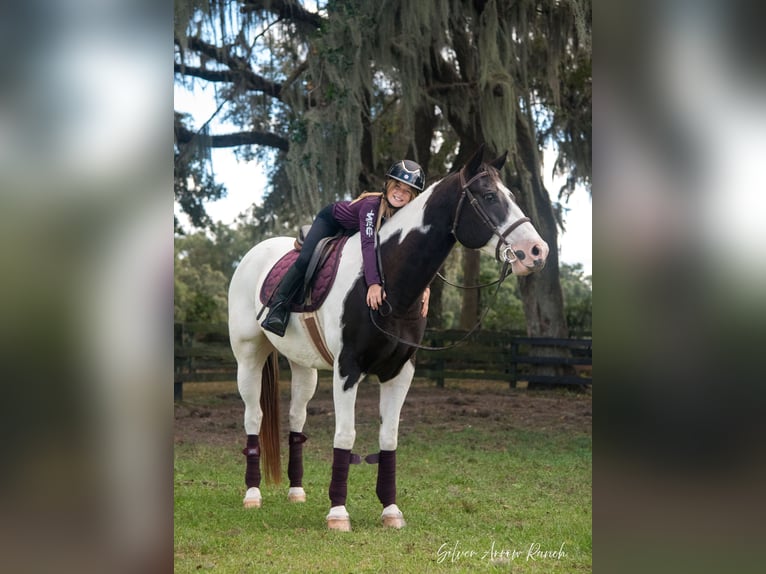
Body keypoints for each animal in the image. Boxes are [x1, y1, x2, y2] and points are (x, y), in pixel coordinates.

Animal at [228, 147, 552, 532]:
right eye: (489, 197)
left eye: (512, 196)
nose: (537, 251)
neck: (389, 280)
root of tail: (254, 254)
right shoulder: (348, 370)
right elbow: (345, 435)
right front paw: (338, 513)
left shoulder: (399, 372)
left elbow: (389, 438)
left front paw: (391, 510)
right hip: (248, 357)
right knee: (253, 417)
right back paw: (252, 495)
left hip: (303, 365)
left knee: (296, 417)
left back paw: (296, 491)